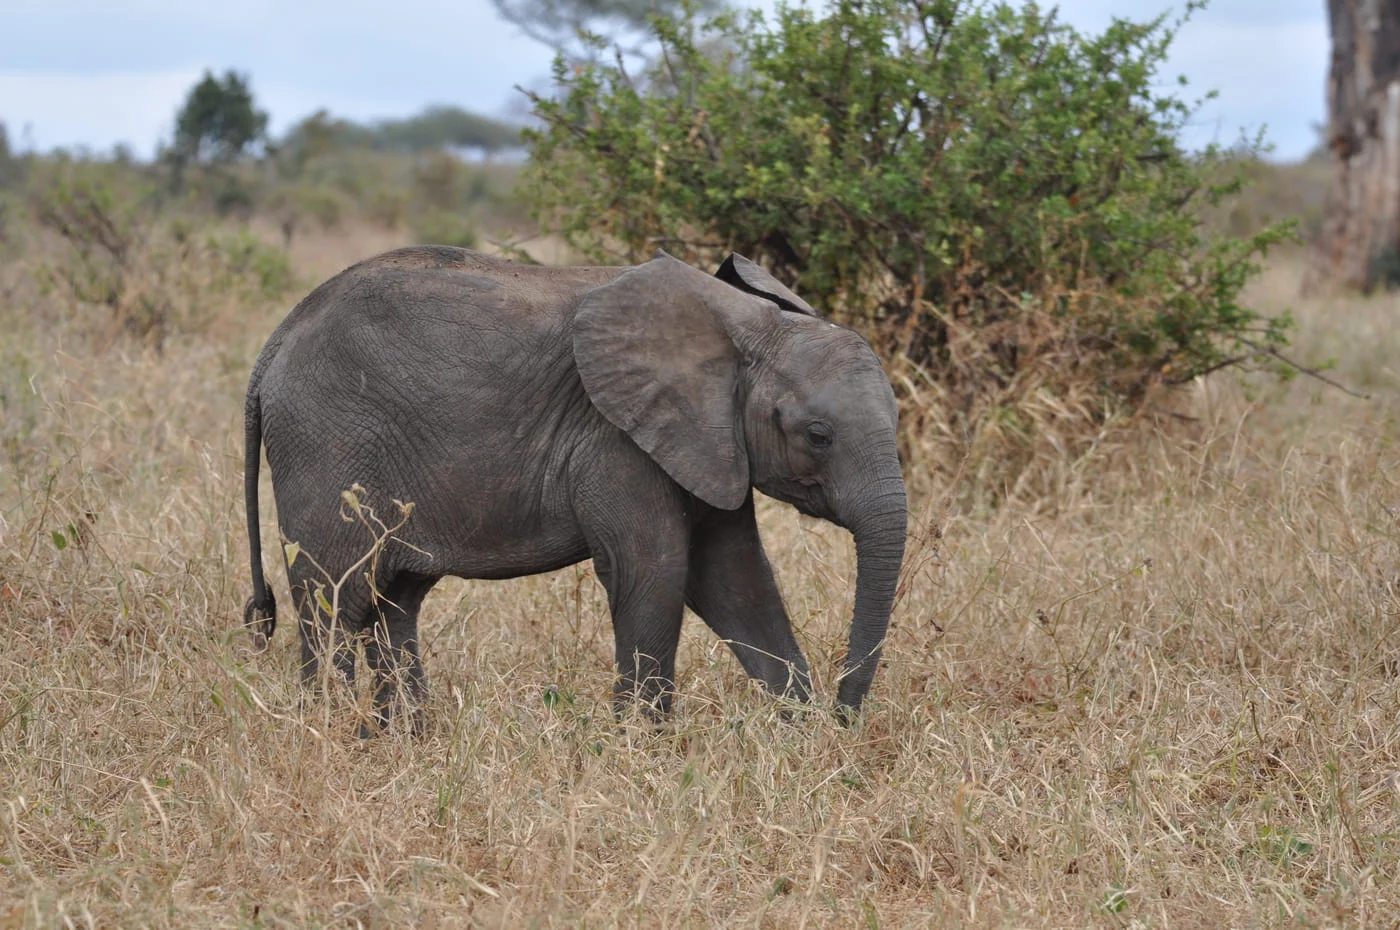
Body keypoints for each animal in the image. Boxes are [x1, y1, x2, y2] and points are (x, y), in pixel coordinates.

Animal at [242, 245, 907, 728]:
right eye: (818, 435)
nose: (845, 719)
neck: (742, 325)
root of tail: (273, 343)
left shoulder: (708, 440)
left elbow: (733, 576)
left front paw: (802, 737)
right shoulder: (616, 439)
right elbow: (656, 571)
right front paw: (644, 751)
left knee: (392, 601)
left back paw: (400, 737)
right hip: (327, 443)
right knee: (336, 598)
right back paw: (331, 731)